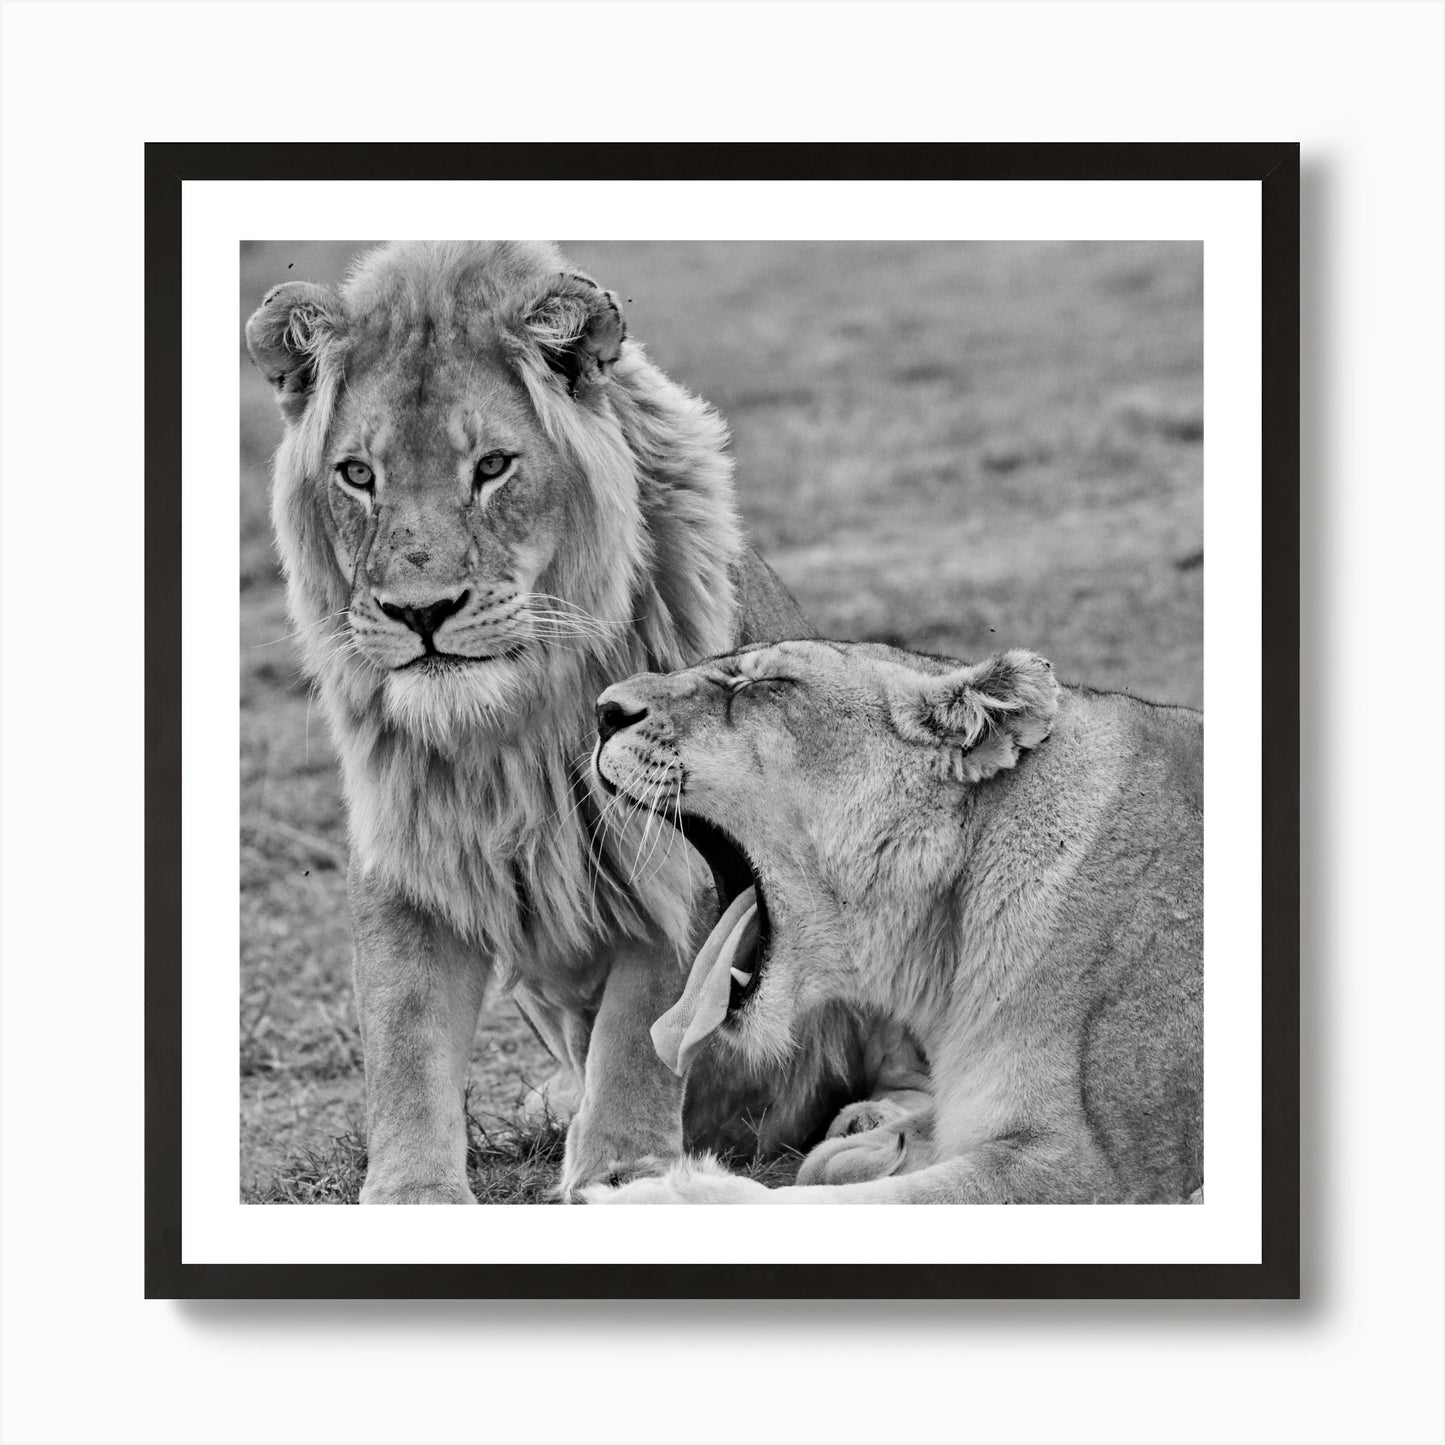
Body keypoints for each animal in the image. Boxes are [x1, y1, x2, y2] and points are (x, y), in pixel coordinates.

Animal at [244, 242, 920, 1202]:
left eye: (492, 466)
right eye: (358, 475)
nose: (420, 612)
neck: (510, 722)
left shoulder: (679, 854)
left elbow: (642, 1032)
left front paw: (626, 1173)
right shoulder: (410, 847)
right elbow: (403, 1034)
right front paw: (413, 1189)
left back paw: (867, 1128)